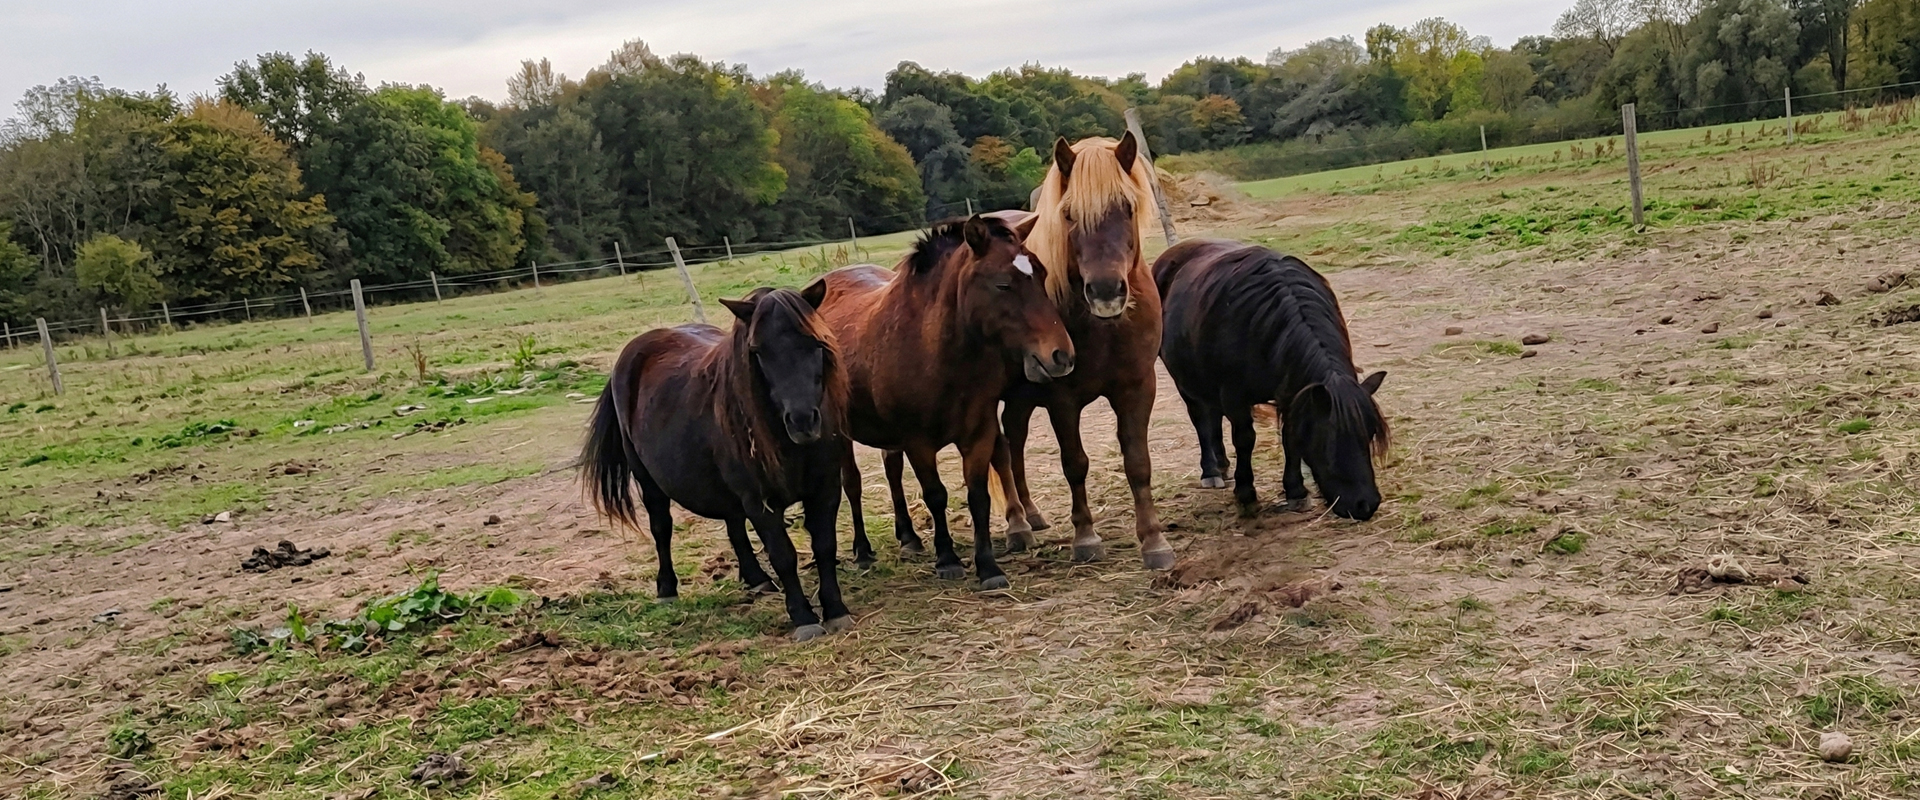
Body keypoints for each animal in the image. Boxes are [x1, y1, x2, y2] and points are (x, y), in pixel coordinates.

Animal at [579, 284, 856, 641]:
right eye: (758, 351)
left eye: (816, 343)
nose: (802, 421)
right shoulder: (760, 502)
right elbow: (783, 555)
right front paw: (804, 617)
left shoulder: (825, 490)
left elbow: (825, 546)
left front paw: (836, 609)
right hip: (648, 482)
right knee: (661, 528)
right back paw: (667, 589)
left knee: (734, 526)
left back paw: (756, 579)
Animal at [816, 214, 1074, 590]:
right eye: (1002, 285)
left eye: (1040, 274)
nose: (1061, 355)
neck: (935, 351)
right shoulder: (918, 443)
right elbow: (935, 495)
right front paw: (948, 559)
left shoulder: (978, 435)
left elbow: (978, 496)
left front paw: (988, 567)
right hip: (843, 433)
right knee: (852, 483)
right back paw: (863, 551)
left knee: (892, 471)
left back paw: (909, 538)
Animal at [995, 132, 1176, 570]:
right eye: (1069, 215)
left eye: (1127, 207)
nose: (1106, 292)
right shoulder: (1063, 398)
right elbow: (1074, 463)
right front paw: (1086, 537)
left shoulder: (1137, 389)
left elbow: (1138, 462)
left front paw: (1154, 541)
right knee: (998, 450)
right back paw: (1016, 524)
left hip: (1021, 397)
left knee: (1014, 439)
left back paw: (1032, 514)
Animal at [1153, 238, 1389, 520]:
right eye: (1330, 440)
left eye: (1370, 434)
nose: (1366, 505)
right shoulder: (1234, 397)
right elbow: (1245, 439)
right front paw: (1246, 495)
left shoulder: (1292, 394)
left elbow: (1290, 438)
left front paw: (1296, 492)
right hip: (1186, 383)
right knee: (1200, 419)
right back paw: (1211, 471)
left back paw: (1222, 464)